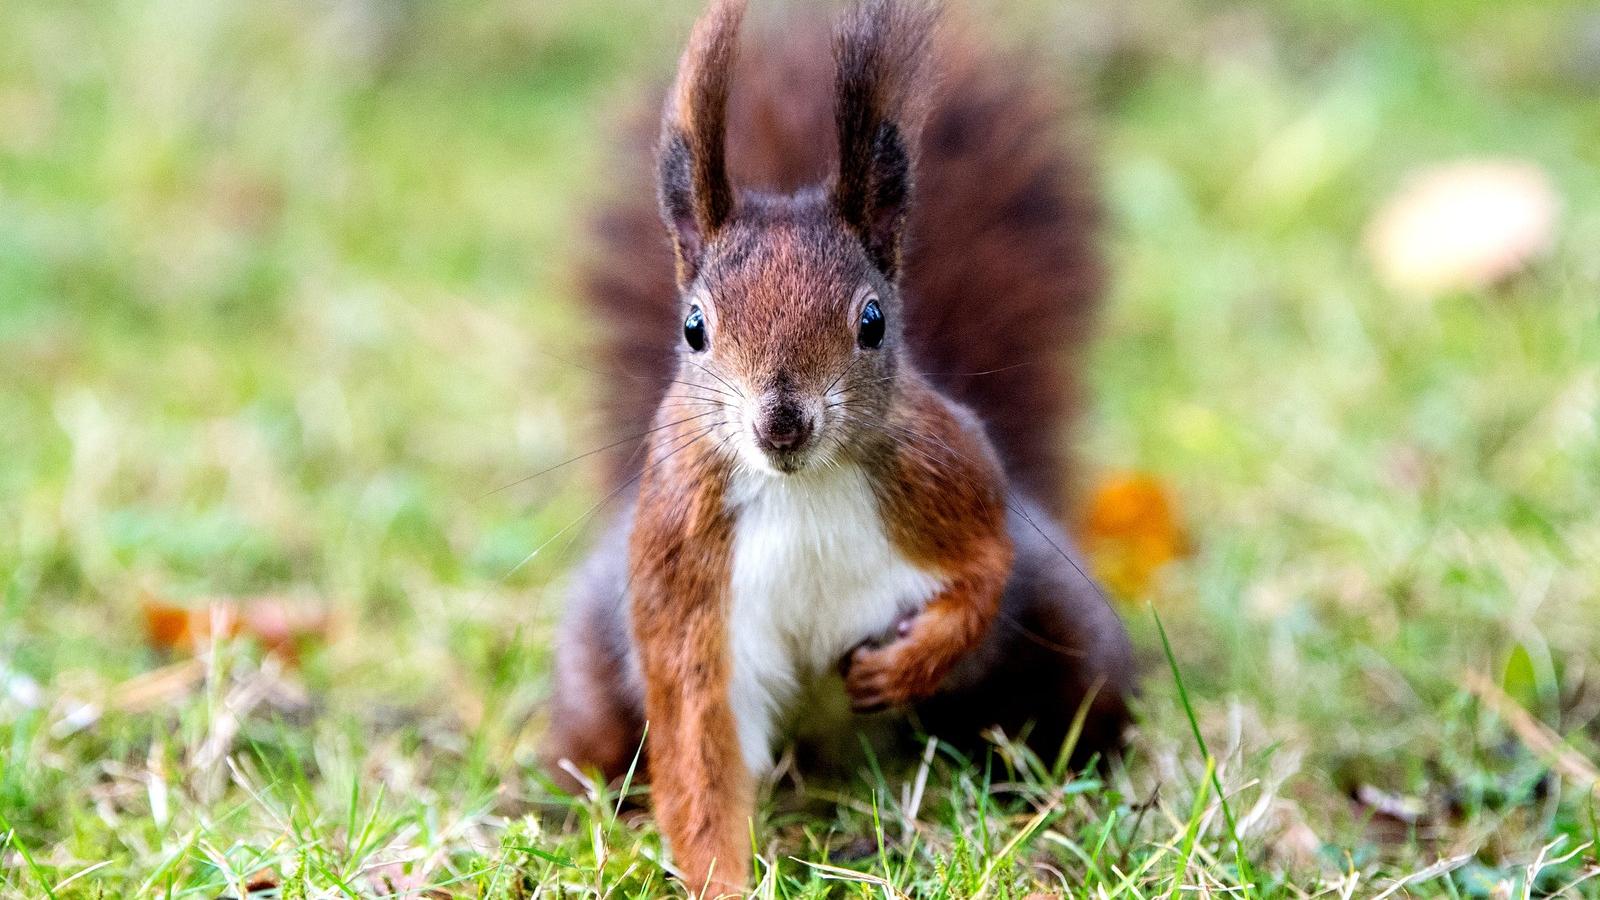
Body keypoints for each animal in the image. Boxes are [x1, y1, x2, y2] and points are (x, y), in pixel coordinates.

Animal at [547, 0, 1139, 883]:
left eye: (873, 321)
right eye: (693, 328)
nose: (782, 421)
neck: (802, 488)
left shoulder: (950, 475)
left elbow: (984, 571)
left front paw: (910, 662)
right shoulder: (685, 582)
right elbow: (698, 746)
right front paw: (721, 880)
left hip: (1073, 630)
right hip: (594, 656)